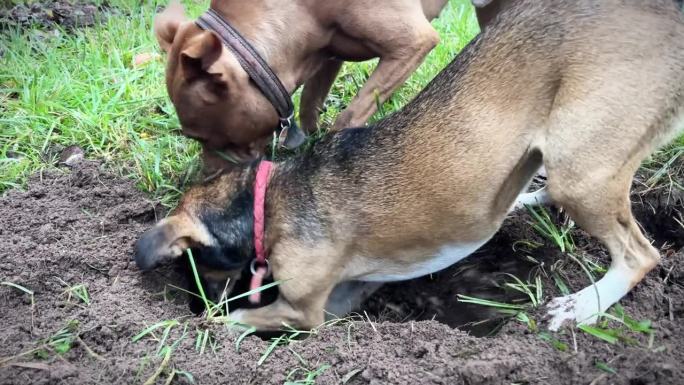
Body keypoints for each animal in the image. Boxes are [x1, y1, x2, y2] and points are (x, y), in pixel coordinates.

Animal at [135, 0, 684, 330]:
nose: (196, 302)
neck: (269, 200)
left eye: (195, 267)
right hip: (556, 152)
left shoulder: (301, 310)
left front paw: (202, 324)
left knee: (639, 255)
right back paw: (523, 201)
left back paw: (581, 307)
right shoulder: (343, 295)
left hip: (581, 170)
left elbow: (234, 322)